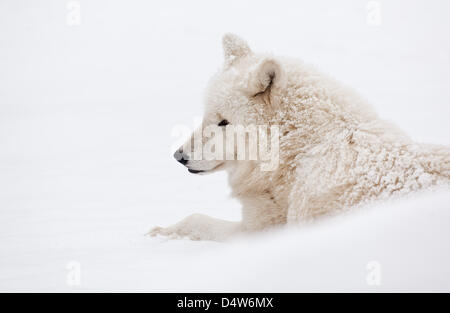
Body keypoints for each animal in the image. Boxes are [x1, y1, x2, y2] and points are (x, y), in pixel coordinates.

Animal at [149, 33, 450, 239]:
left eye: (224, 122)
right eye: (207, 116)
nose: (178, 156)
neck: (297, 152)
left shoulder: (259, 234)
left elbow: (195, 218)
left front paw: (159, 232)